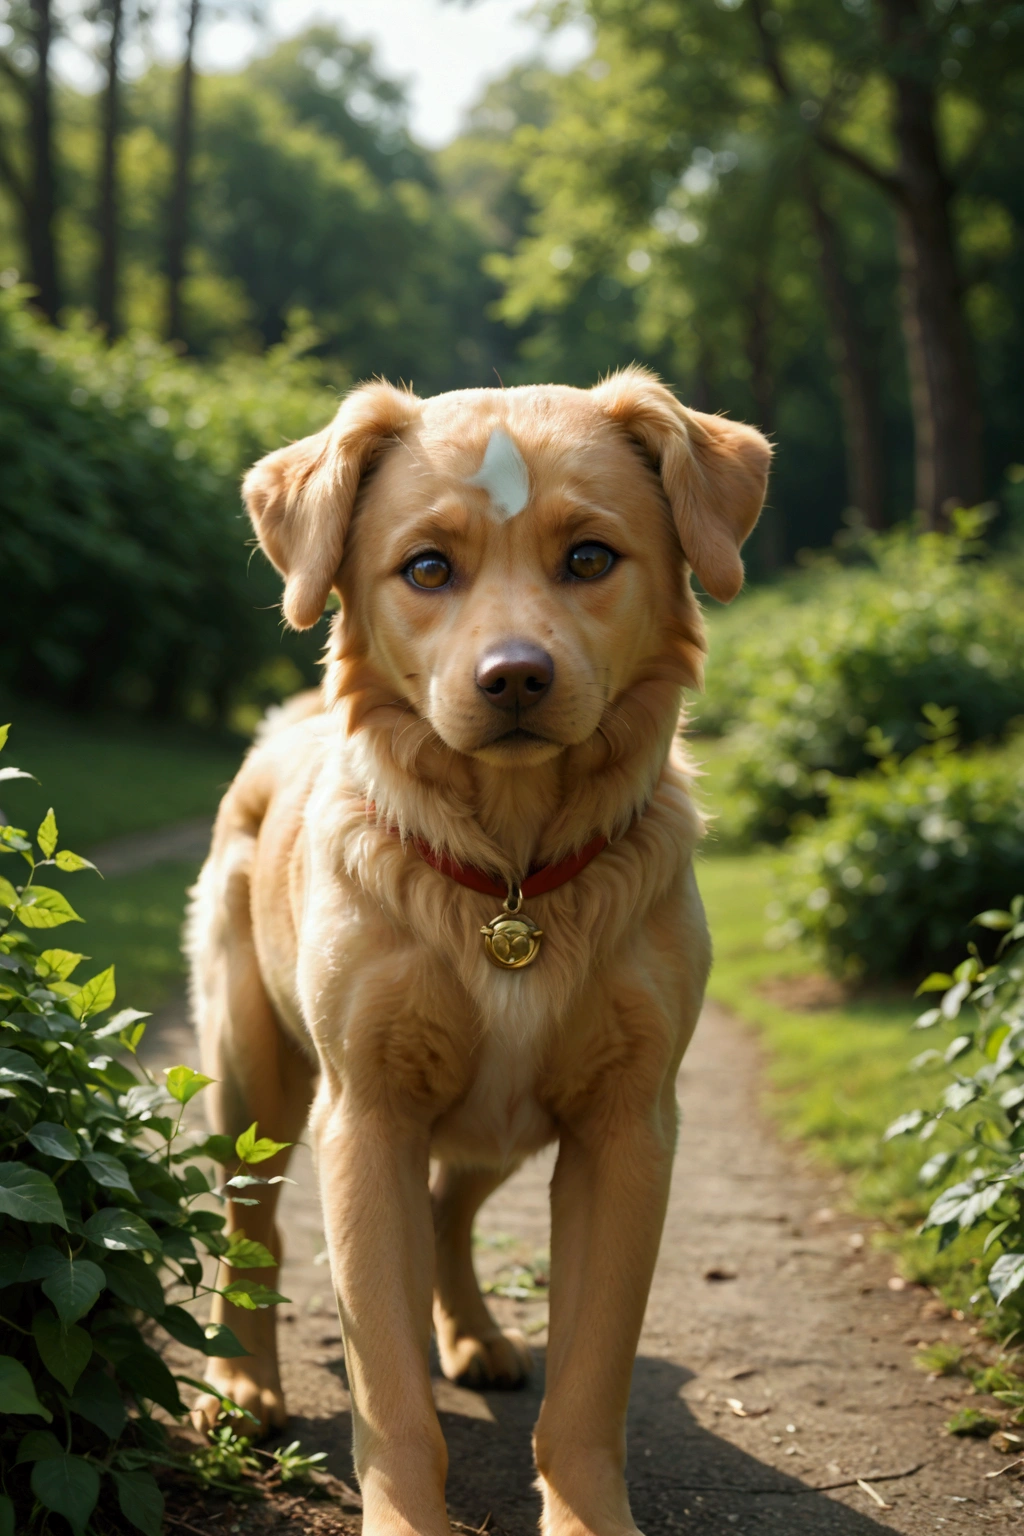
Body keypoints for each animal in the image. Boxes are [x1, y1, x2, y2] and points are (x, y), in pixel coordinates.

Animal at [190, 371, 767, 1536]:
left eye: (589, 557)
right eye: (426, 567)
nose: (514, 678)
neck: (510, 883)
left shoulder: (628, 1127)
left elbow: (589, 1386)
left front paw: (587, 1515)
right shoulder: (366, 1118)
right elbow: (388, 1388)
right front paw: (405, 1510)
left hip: (494, 1121)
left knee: (449, 1210)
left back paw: (473, 1337)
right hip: (251, 1079)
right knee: (253, 1224)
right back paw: (245, 1382)